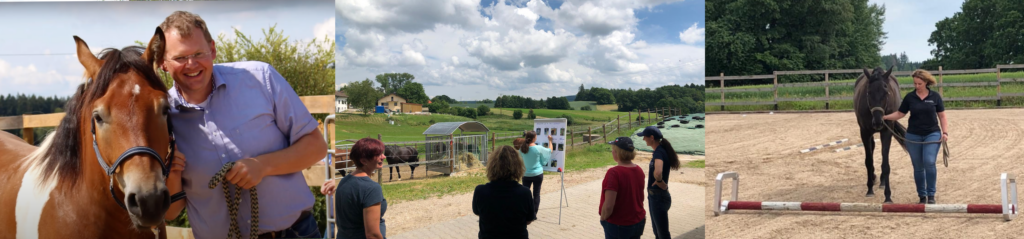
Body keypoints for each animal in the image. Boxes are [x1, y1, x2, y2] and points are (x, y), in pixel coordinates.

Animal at [851, 65, 909, 203]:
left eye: (886, 92)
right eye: (868, 92)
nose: (878, 122)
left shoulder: (886, 132)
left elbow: (885, 164)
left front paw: (888, 196)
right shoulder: (864, 132)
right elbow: (868, 161)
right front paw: (870, 189)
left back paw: (882, 181)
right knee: (872, 148)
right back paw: (873, 177)